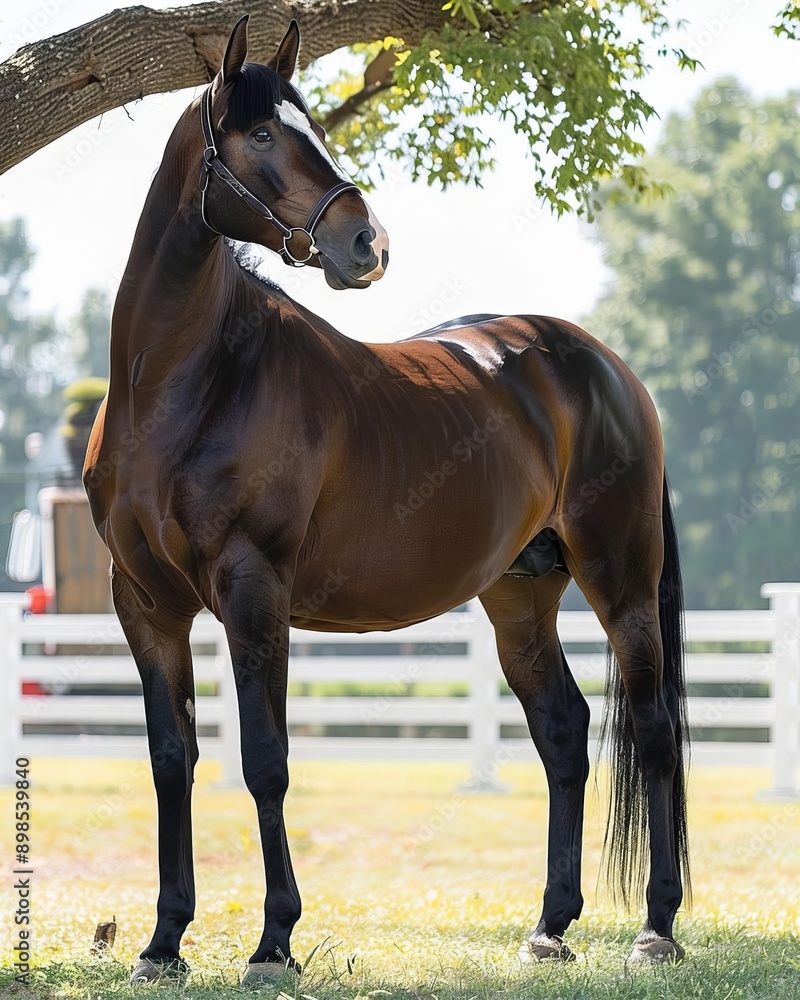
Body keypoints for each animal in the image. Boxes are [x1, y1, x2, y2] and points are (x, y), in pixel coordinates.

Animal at [85, 15, 690, 988]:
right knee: (564, 731)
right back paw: (550, 927)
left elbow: (266, 763)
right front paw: (162, 944)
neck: (182, 383)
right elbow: (172, 762)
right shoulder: (145, 605)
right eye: (262, 134)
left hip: (622, 580)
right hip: (521, 596)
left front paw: (274, 944)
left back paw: (656, 928)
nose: (365, 244)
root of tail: (605, 366)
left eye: (309, 127)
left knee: (655, 727)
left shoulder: (255, 595)